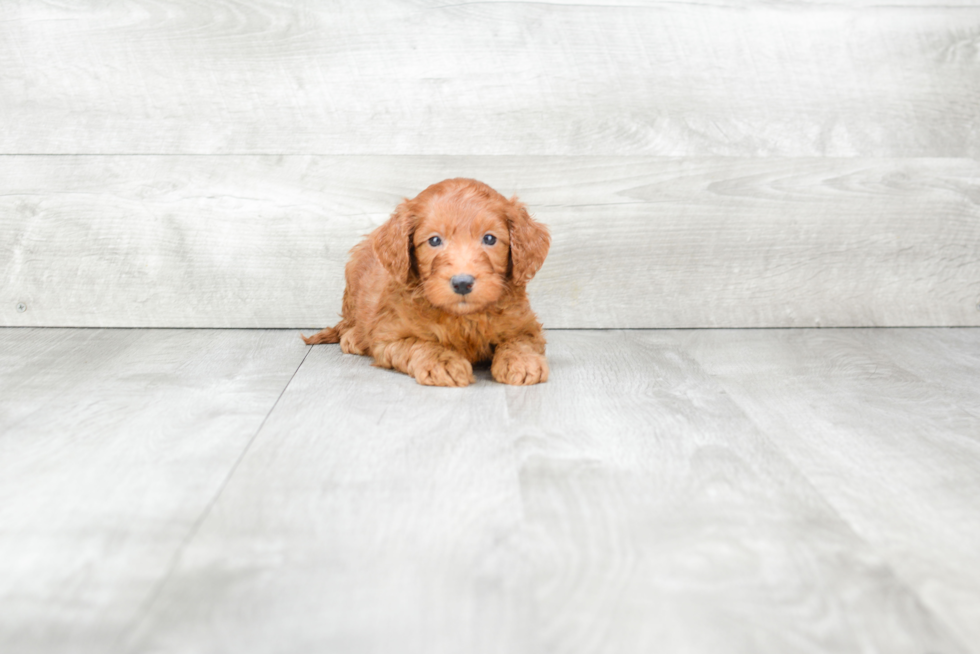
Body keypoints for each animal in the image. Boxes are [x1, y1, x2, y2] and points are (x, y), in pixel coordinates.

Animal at [302, 177, 552, 386]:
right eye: (434, 240)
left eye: (489, 239)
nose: (462, 283)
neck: (464, 318)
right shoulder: (389, 336)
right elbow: (419, 343)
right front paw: (443, 363)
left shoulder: (526, 325)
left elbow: (519, 341)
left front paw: (522, 361)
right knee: (348, 323)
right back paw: (353, 337)